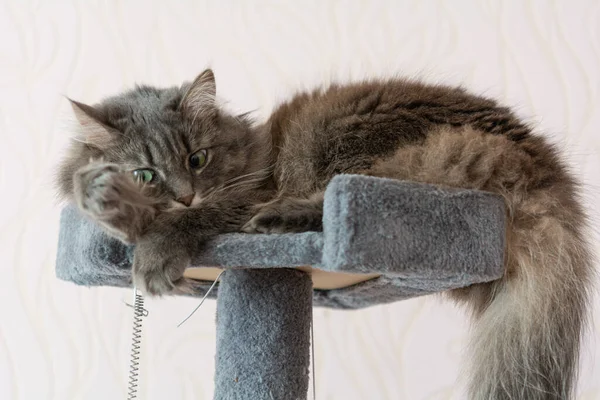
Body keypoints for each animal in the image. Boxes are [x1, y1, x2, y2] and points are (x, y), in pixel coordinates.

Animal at [57, 70, 596, 398]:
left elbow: (179, 224)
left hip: (356, 152)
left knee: (337, 196)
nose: (187, 195)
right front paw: (102, 195)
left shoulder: (244, 194)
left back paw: (277, 218)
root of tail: (539, 161)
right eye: (147, 173)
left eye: (197, 159)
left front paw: (150, 255)